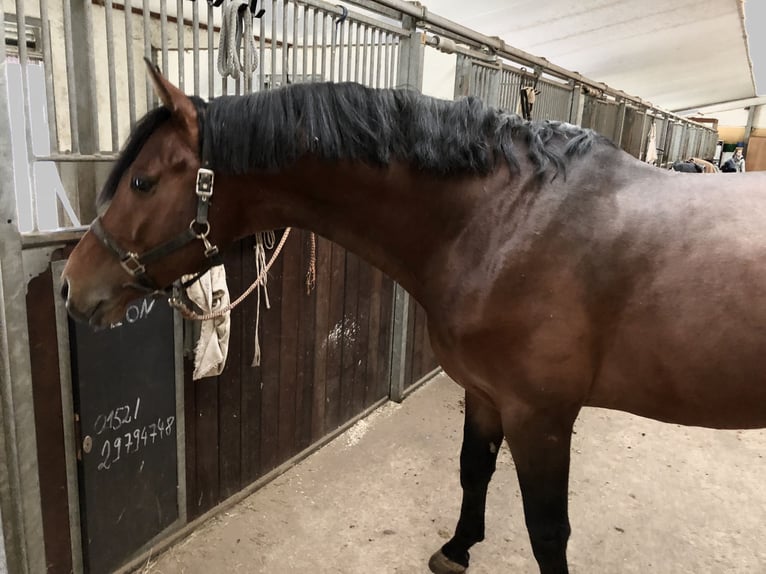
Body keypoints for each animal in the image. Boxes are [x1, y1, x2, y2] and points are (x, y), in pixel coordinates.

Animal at [61, 62, 766, 574]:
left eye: (143, 182)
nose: (71, 285)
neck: (506, 223)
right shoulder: (485, 394)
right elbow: (473, 471)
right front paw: (457, 550)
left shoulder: (541, 417)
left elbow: (546, 531)